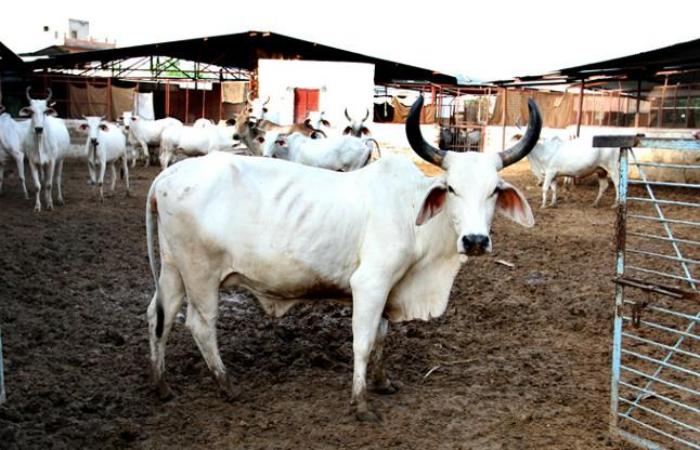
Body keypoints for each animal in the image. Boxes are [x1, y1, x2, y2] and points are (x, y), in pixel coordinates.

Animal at [144, 95, 541, 421]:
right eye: (451, 188)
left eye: (494, 191)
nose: (475, 240)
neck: (411, 210)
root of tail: (170, 174)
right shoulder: (370, 283)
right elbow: (363, 342)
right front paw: (361, 404)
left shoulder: (390, 288)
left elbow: (381, 335)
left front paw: (383, 383)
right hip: (201, 274)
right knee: (200, 324)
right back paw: (226, 385)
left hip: (173, 270)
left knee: (158, 316)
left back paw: (162, 386)